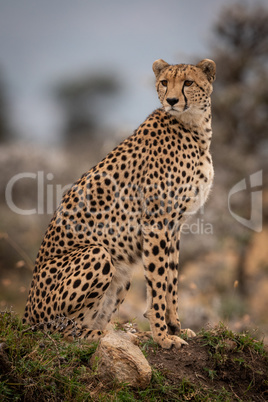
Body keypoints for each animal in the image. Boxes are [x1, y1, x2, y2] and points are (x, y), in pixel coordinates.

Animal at [23, 59, 216, 348]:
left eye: (188, 83)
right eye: (164, 82)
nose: (171, 100)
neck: (194, 126)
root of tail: (25, 316)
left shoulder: (174, 225)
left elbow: (171, 278)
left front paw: (175, 327)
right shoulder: (157, 223)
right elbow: (158, 281)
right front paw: (163, 336)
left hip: (121, 276)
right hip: (98, 254)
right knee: (60, 332)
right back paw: (109, 335)